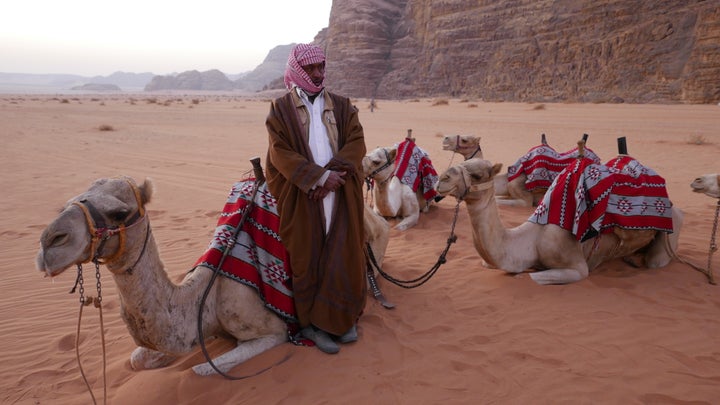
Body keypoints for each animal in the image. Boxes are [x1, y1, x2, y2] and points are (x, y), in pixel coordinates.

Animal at [35, 175, 388, 374]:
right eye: (70, 200)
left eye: (119, 213)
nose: (50, 242)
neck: (209, 294)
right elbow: (137, 358)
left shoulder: (272, 332)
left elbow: (203, 370)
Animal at [436, 158, 684, 284]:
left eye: (477, 175)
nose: (441, 179)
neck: (531, 240)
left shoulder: (577, 266)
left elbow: (528, 277)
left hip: (670, 228)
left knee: (656, 259)